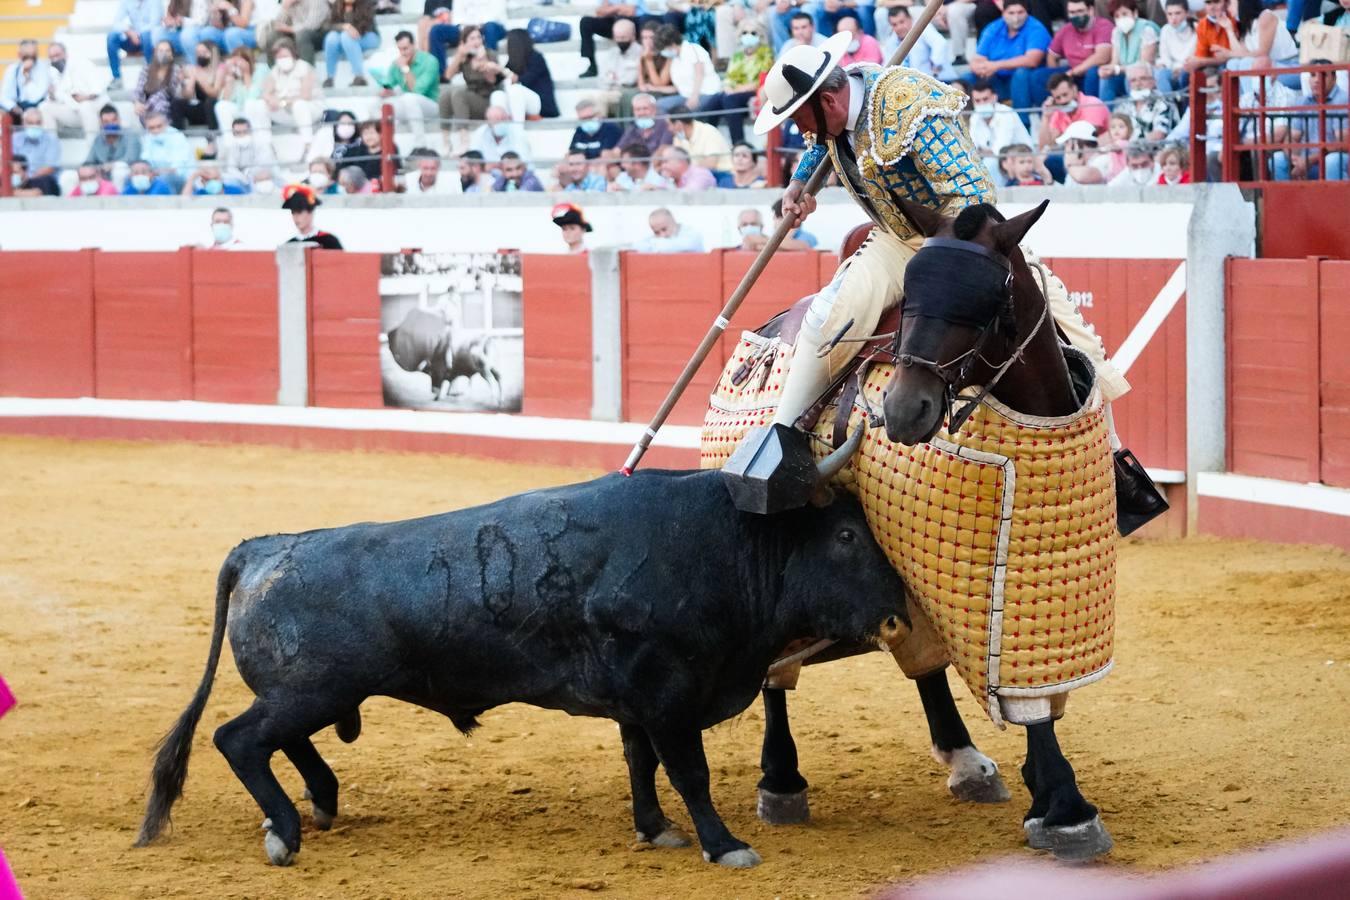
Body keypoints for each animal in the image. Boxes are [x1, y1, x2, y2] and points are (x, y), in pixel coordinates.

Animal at [134, 461, 907, 868]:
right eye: (845, 535)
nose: (900, 609)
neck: (733, 542)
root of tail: (264, 546)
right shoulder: (666, 695)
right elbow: (690, 772)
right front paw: (724, 846)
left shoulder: (636, 702)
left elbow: (641, 764)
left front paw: (654, 828)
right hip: (311, 688)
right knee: (239, 739)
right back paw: (287, 833)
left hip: (311, 690)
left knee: (278, 740)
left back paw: (314, 806)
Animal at [702, 195, 1112, 858]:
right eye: (911, 298)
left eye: (990, 302)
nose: (902, 410)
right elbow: (1027, 701)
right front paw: (1065, 806)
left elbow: (1032, 694)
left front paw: (1050, 796)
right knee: (777, 665)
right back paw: (781, 779)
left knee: (917, 650)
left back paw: (967, 761)